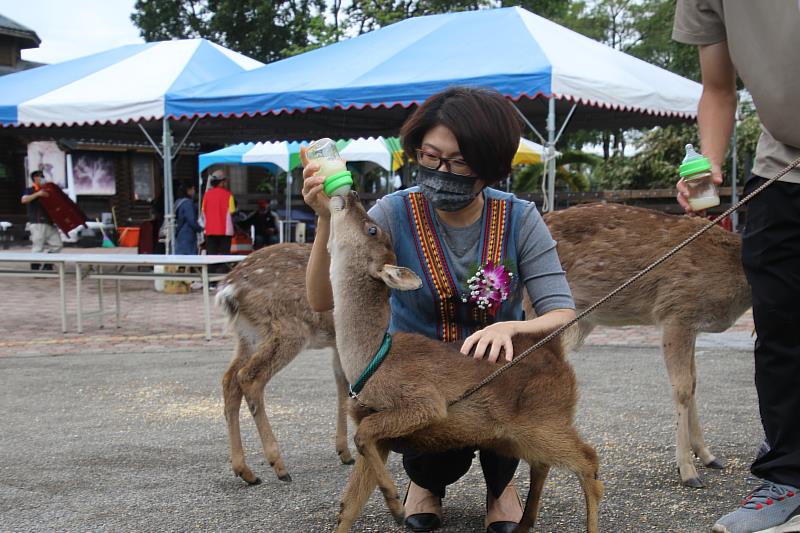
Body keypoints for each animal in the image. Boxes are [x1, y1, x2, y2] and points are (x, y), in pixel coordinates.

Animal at [216, 243, 354, 484]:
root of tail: (229, 290)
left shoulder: (338, 344)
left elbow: (342, 384)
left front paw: (344, 452)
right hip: (288, 330)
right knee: (248, 378)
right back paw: (279, 466)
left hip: (248, 335)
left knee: (229, 379)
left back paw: (246, 472)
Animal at [544, 202, 752, 488]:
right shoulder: (676, 311)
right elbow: (682, 388)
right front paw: (688, 471)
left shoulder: (693, 325)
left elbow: (693, 382)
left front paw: (708, 456)